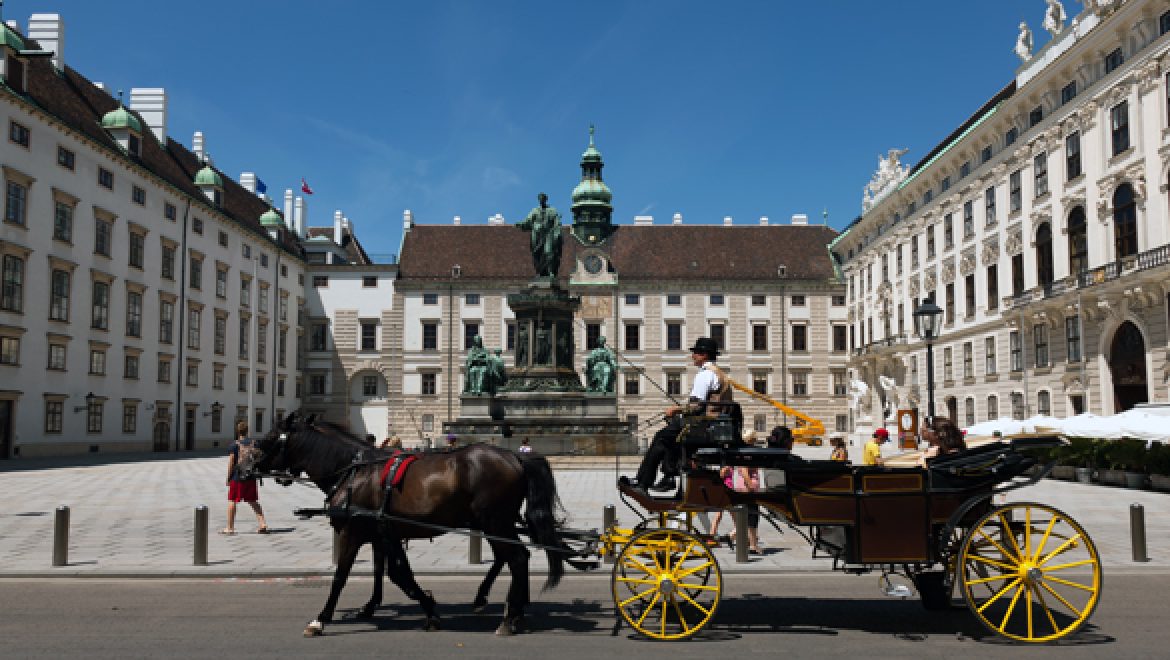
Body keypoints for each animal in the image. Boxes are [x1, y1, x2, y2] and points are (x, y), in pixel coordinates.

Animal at [239, 414, 563, 636]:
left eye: (267, 439)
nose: (244, 470)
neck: (354, 471)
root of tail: (515, 456)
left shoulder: (352, 533)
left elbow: (341, 576)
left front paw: (321, 619)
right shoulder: (384, 532)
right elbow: (395, 572)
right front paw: (424, 608)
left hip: (494, 522)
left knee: (517, 558)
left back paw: (508, 618)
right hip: (495, 524)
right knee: (513, 558)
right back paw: (511, 611)